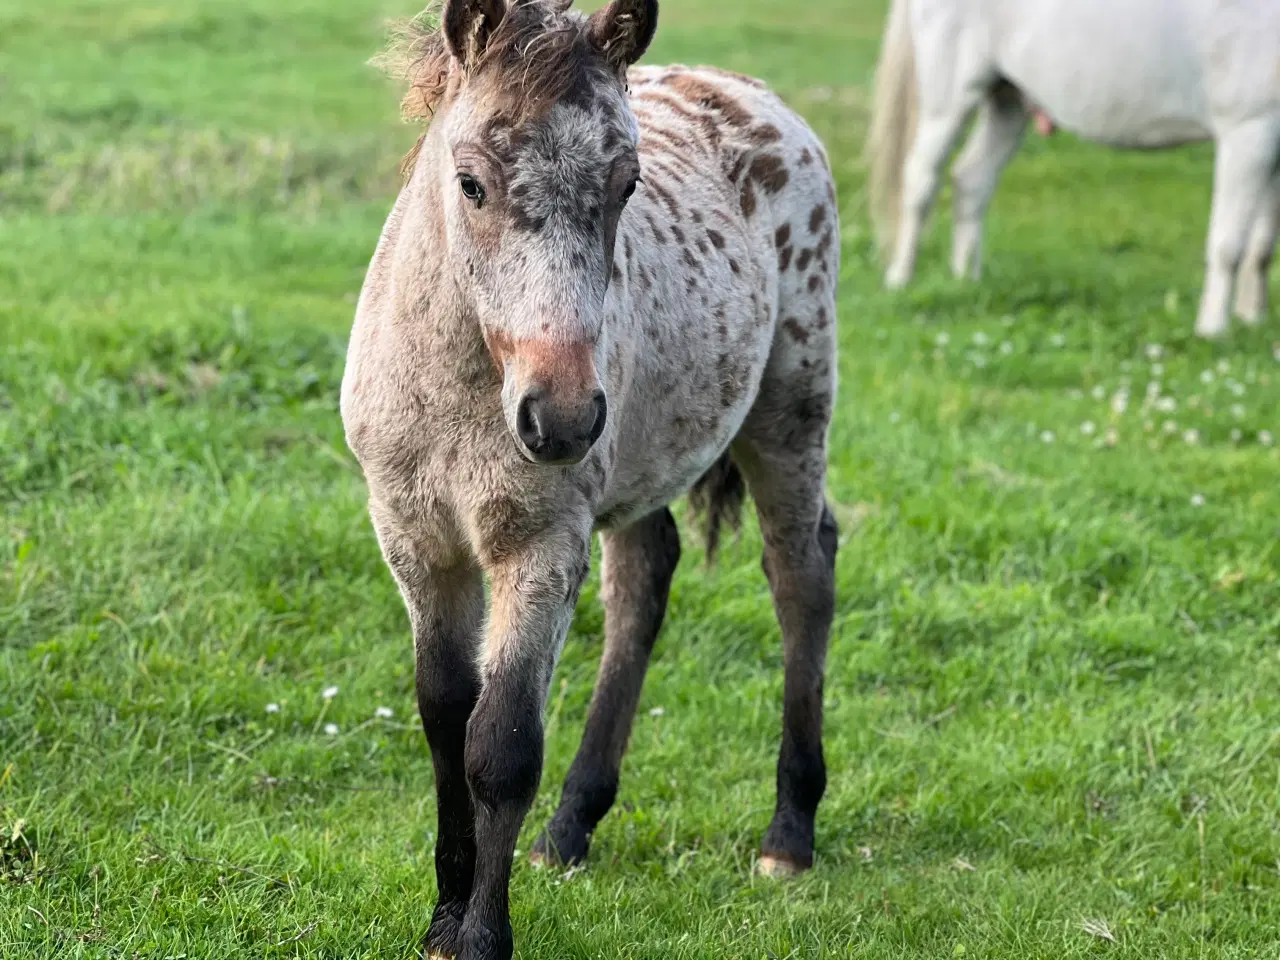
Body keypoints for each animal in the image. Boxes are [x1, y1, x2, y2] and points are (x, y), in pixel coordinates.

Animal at [870, 0, 1280, 337]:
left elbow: (1261, 247)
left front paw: (1252, 321)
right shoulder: (1248, 129)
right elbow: (1229, 244)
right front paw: (1212, 331)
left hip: (1008, 99)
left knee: (972, 180)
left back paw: (965, 281)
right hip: (951, 96)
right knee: (921, 180)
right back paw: (900, 279)